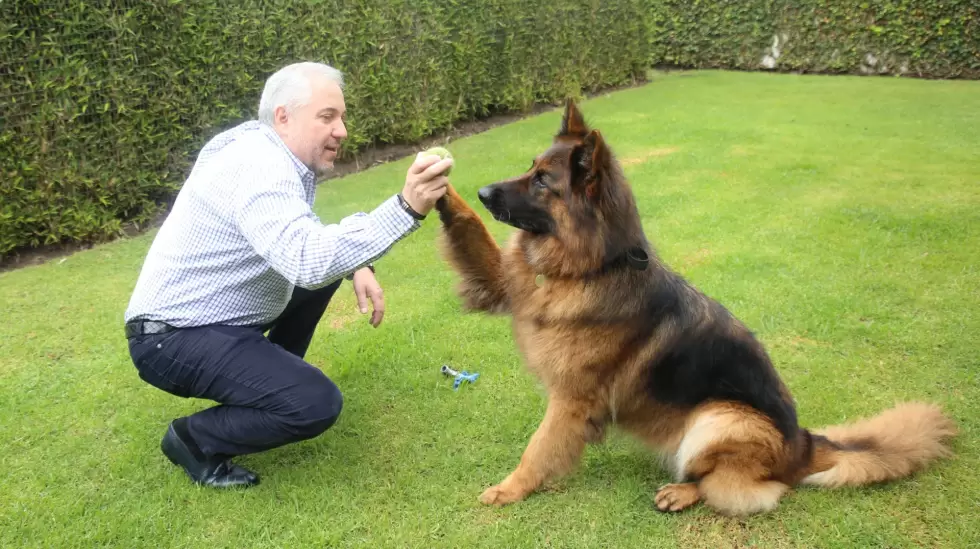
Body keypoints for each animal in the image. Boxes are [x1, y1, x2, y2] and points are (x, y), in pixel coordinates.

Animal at [434, 99, 956, 520]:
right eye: (530, 168)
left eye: (543, 181)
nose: (484, 191)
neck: (591, 267)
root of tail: (803, 444)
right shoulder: (503, 284)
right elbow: (472, 229)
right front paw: (440, 187)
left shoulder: (570, 400)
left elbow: (538, 449)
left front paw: (510, 489)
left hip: (718, 418)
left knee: (757, 489)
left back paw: (684, 492)